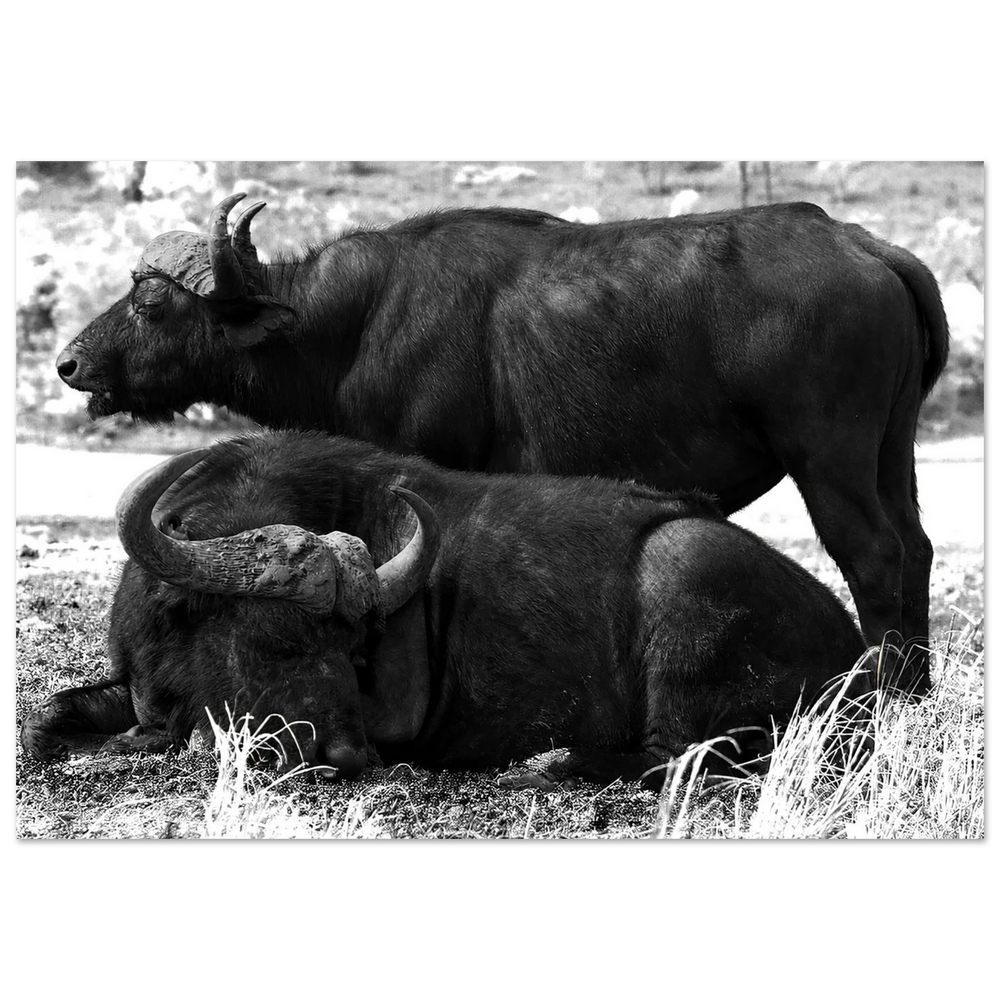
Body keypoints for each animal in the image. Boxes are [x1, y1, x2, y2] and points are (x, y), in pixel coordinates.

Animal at [21, 433, 871, 788]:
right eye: (275, 635)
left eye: (355, 644)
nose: (347, 755)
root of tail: (855, 653)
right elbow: (45, 725)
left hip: (681, 566)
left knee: (683, 755)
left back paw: (550, 764)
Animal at [54, 195, 948, 691]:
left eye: (152, 304)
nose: (70, 363)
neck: (350, 327)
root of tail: (864, 246)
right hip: (891, 454)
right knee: (917, 547)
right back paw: (916, 694)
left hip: (828, 458)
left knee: (874, 557)